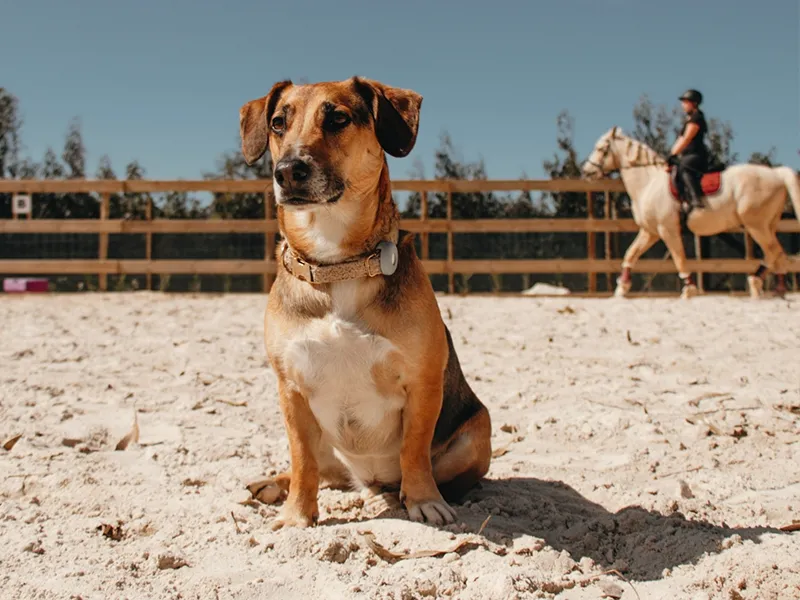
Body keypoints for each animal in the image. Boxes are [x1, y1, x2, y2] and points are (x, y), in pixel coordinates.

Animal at [580, 127, 800, 299]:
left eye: (601, 148)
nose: (586, 172)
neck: (649, 182)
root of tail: (776, 173)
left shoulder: (668, 230)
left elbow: (679, 259)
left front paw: (689, 289)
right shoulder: (650, 232)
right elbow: (631, 254)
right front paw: (622, 289)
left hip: (756, 226)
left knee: (774, 252)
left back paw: (768, 287)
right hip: (767, 225)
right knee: (775, 254)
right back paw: (765, 286)